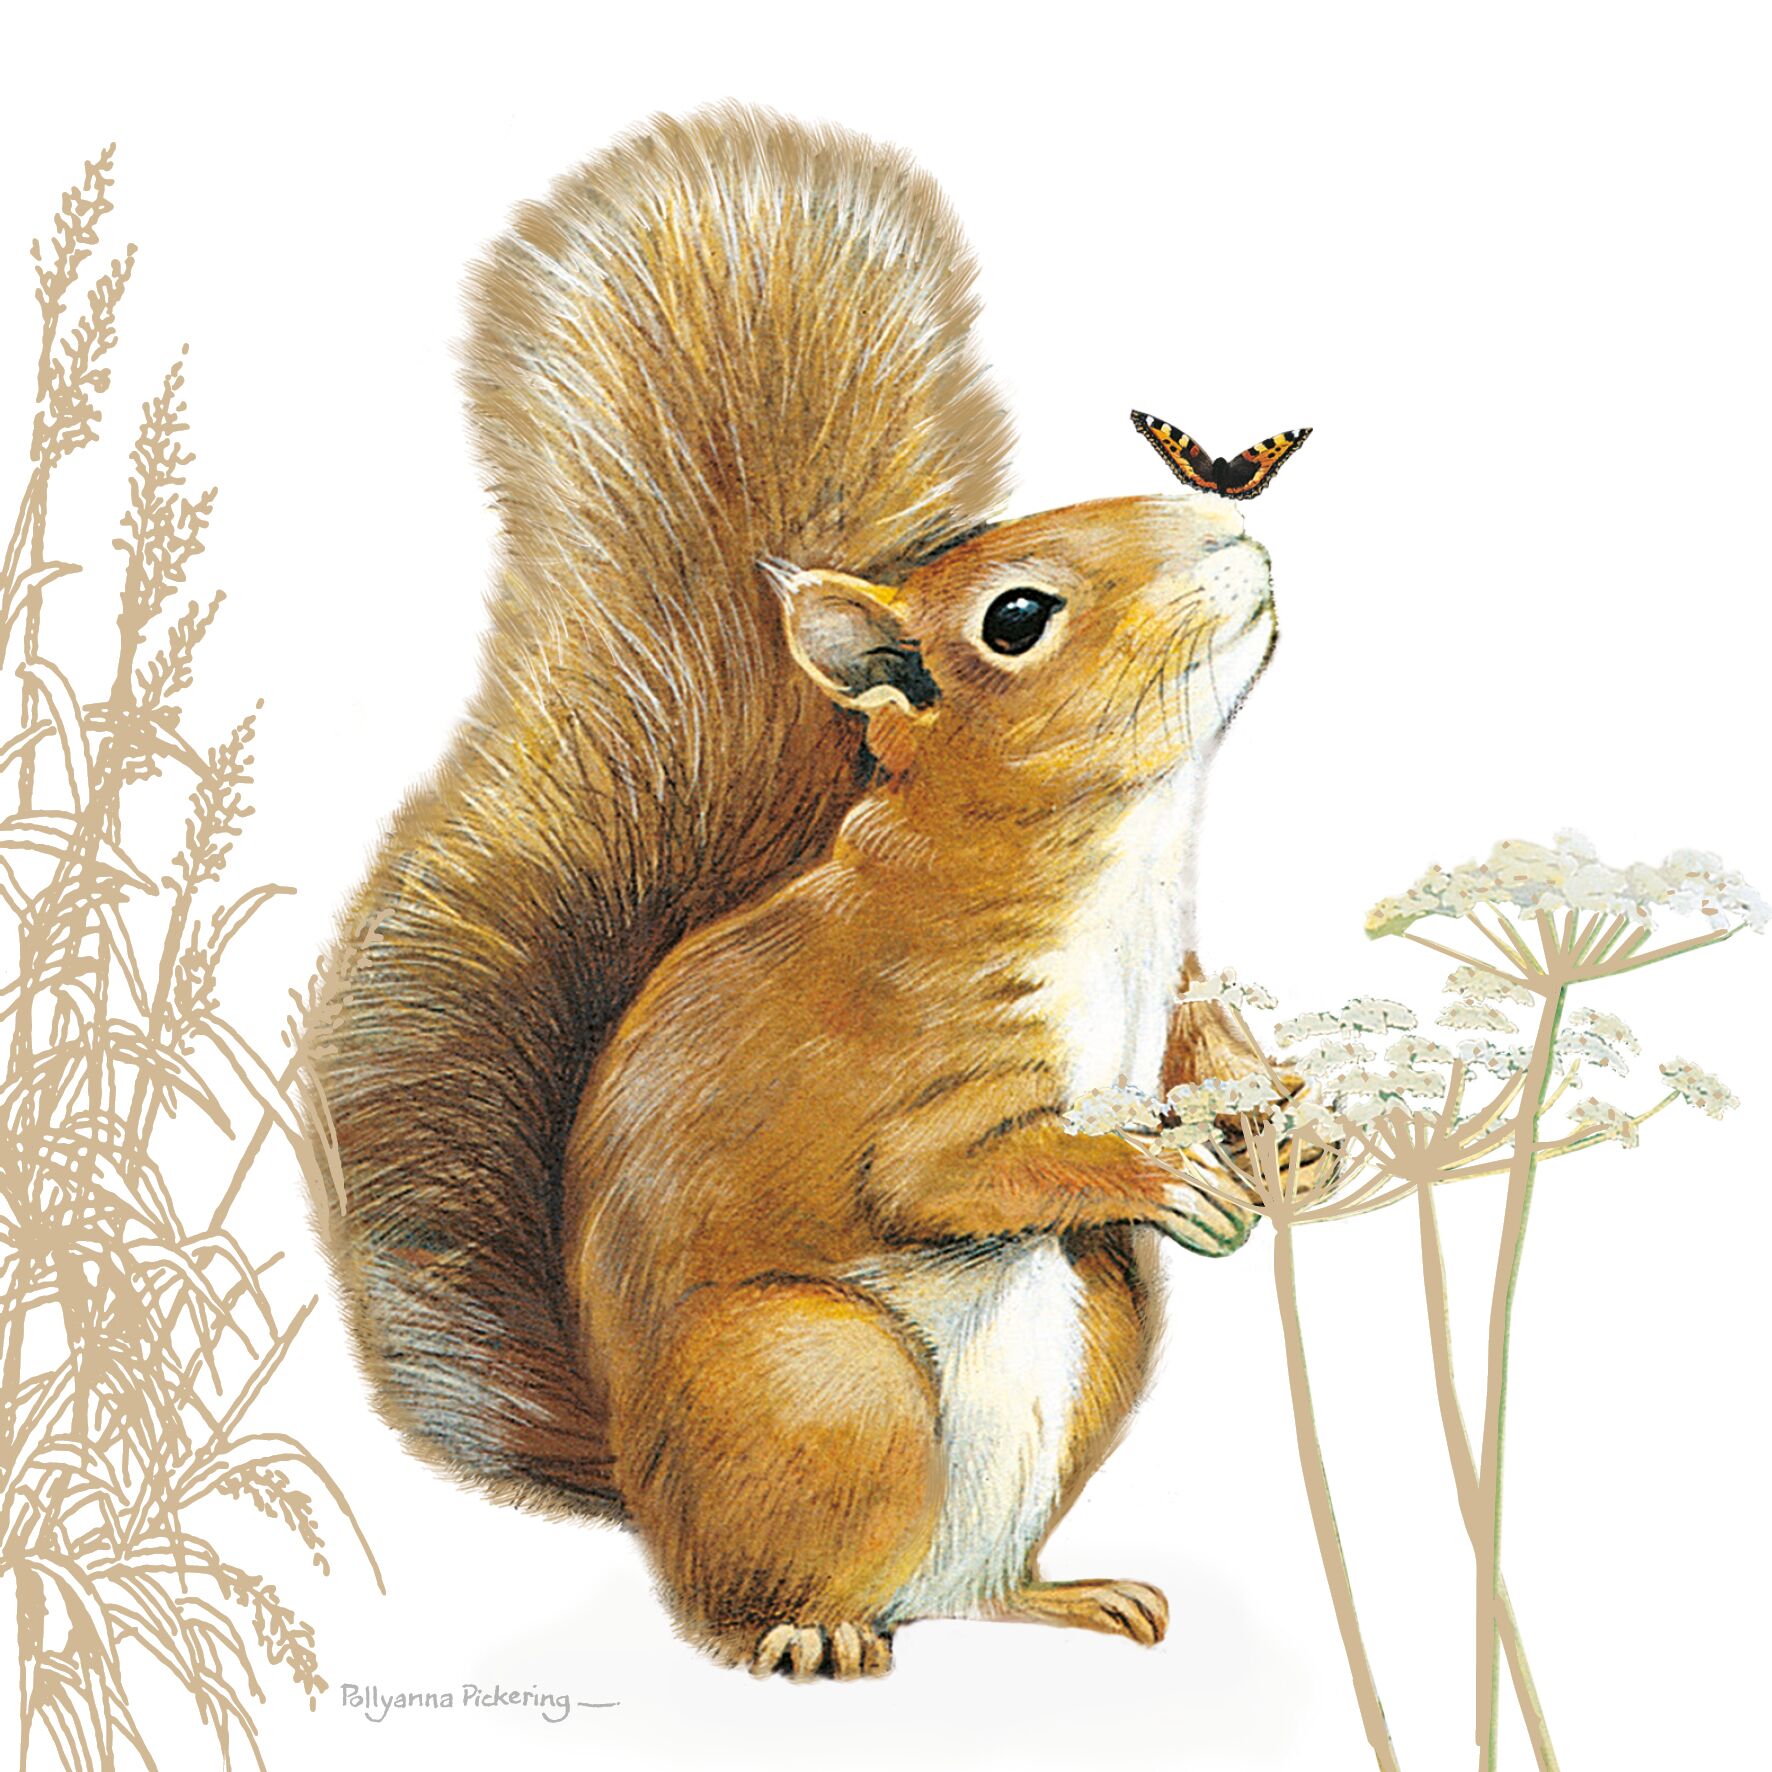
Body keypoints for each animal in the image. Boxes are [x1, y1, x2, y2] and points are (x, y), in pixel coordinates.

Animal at [311, 102, 1284, 1681]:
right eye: (1018, 617)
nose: (1237, 536)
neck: (1125, 869)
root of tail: (639, 1482)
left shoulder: (1176, 986)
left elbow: (1210, 1059)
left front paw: (1279, 1122)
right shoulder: (911, 1062)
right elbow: (943, 1177)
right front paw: (1147, 1170)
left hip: (1094, 1327)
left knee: (965, 1585)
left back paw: (1058, 1595)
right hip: (816, 1379)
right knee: (748, 1602)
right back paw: (806, 1636)